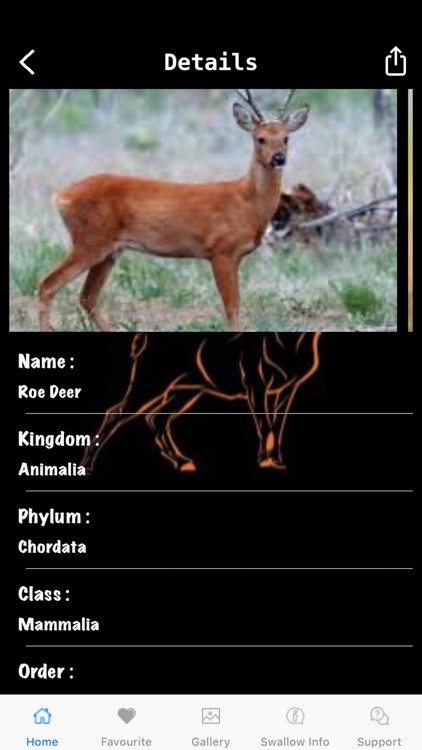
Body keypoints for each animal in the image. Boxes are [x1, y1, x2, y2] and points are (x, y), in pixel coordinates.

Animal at [38, 90, 310, 332]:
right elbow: (232, 308)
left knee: (87, 298)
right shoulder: (222, 251)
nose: (278, 158)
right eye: (260, 138)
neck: (246, 203)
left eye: (286, 138)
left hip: (109, 250)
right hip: (90, 240)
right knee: (47, 285)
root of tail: (61, 196)